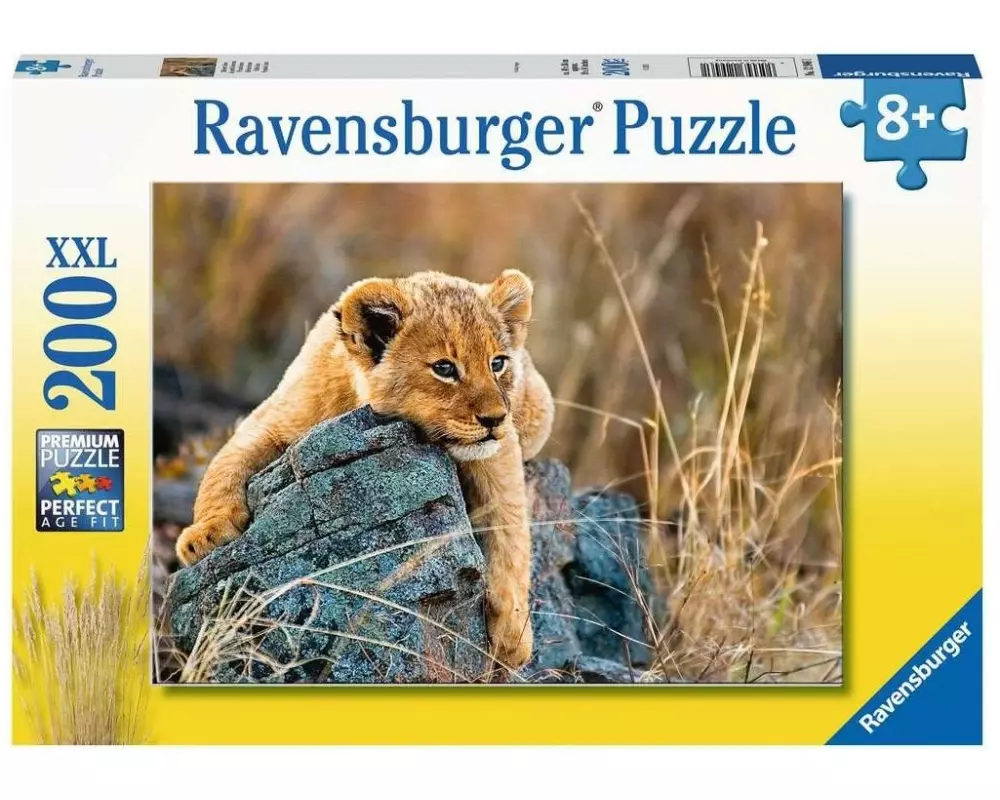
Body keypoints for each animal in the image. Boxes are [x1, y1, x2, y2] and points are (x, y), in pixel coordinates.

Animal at [176, 269, 554, 669]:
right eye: (444, 368)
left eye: (497, 363)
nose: (495, 419)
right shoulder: (272, 419)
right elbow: (223, 466)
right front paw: (204, 536)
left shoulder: (499, 453)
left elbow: (510, 531)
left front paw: (513, 635)